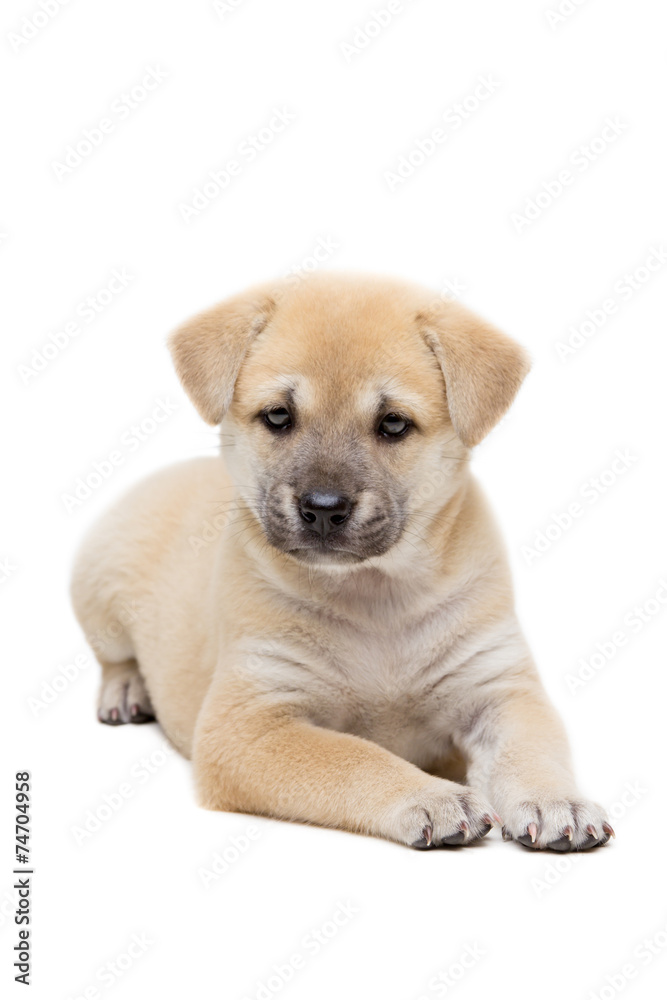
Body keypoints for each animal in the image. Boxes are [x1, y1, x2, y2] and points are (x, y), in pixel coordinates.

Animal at [70, 274, 612, 852]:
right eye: (278, 416)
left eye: (393, 424)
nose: (324, 509)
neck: (375, 597)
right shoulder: (249, 724)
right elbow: (355, 758)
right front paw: (432, 797)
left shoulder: (500, 690)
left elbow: (532, 749)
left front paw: (558, 800)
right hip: (98, 589)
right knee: (114, 659)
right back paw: (127, 689)